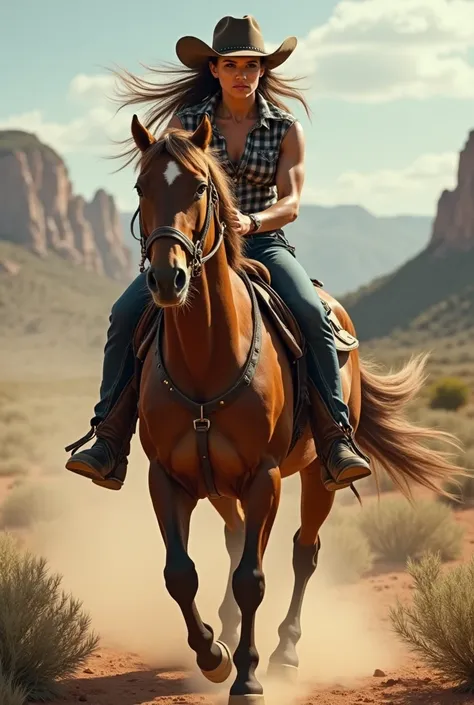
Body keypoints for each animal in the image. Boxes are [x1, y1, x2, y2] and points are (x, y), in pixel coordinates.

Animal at [131, 113, 464, 700]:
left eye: (199, 187)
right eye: (141, 187)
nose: (168, 278)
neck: (205, 358)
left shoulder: (265, 477)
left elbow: (252, 577)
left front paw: (246, 674)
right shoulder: (166, 477)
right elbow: (180, 573)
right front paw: (212, 653)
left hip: (317, 474)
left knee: (302, 552)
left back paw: (286, 650)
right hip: (218, 485)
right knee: (234, 538)